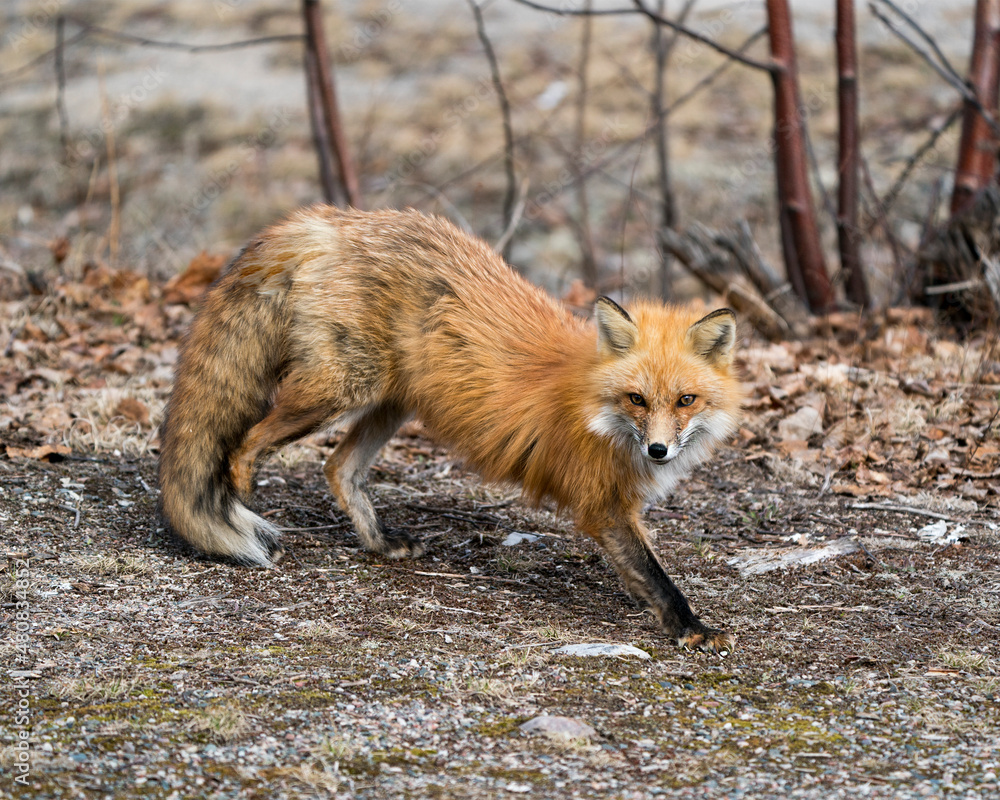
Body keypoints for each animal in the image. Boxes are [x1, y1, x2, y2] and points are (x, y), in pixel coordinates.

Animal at [158, 206, 743, 653]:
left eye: (686, 400)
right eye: (636, 399)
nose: (660, 450)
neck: (597, 411)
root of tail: (328, 220)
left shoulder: (622, 506)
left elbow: (641, 570)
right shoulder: (602, 503)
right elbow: (657, 576)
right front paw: (690, 628)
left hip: (390, 402)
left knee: (338, 468)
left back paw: (379, 543)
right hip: (341, 390)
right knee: (245, 443)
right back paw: (240, 501)